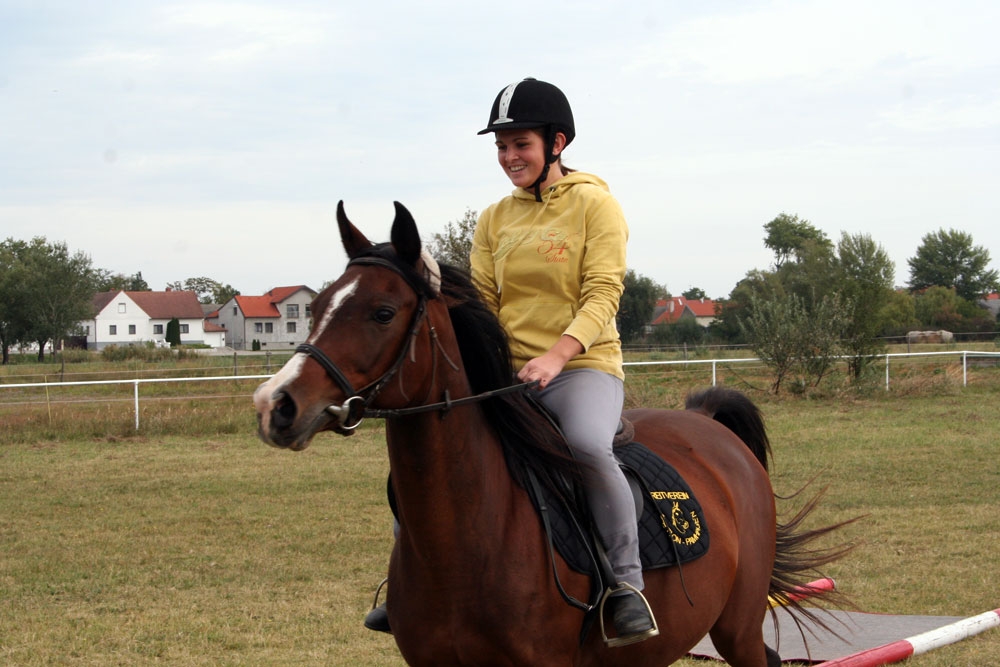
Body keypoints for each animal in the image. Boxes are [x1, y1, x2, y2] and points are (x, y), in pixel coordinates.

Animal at [254, 202, 848, 667]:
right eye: (316, 306)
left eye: (381, 312)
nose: (276, 405)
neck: (470, 535)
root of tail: (709, 426)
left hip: (736, 626)